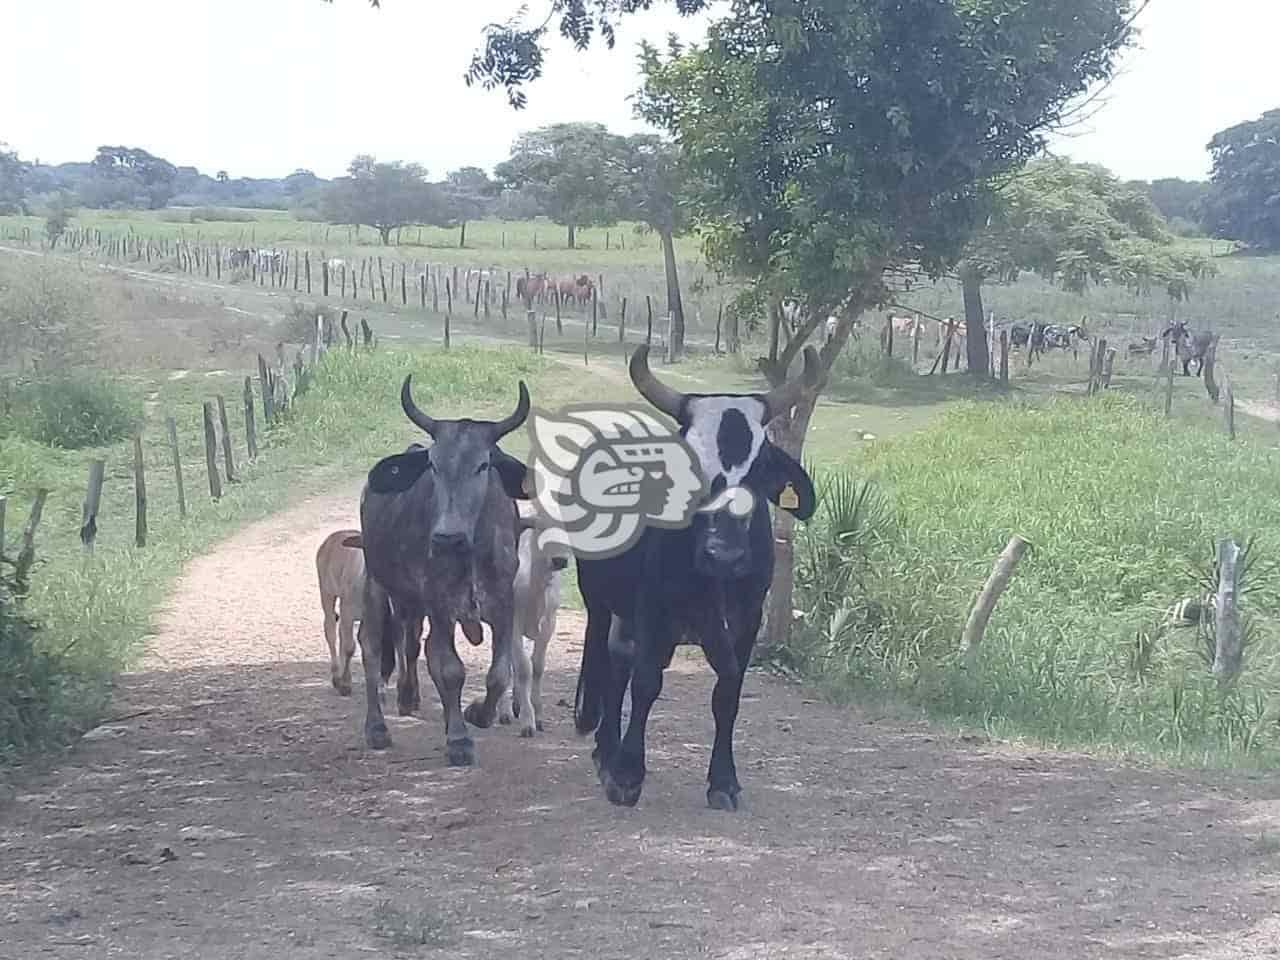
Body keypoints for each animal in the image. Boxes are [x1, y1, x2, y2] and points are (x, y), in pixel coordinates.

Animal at [355, 376, 529, 768]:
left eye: (483, 465)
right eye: (433, 465)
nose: (447, 536)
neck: (470, 550)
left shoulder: (505, 602)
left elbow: (499, 672)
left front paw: (478, 713)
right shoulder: (440, 604)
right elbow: (449, 669)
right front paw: (459, 740)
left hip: (411, 602)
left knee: (413, 642)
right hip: (376, 582)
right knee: (372, 647)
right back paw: (376, 727)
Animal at [573, 345, 814, 814]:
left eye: (759, 470)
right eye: (691, 468)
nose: (724, 554)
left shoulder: (747, 621)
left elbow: (728, 693)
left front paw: (723, 780)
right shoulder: (652, 610)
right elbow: (646, 682)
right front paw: (627, 774)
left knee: (618, 661)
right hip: (600, 598)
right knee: (611, 663)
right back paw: (606, 752)